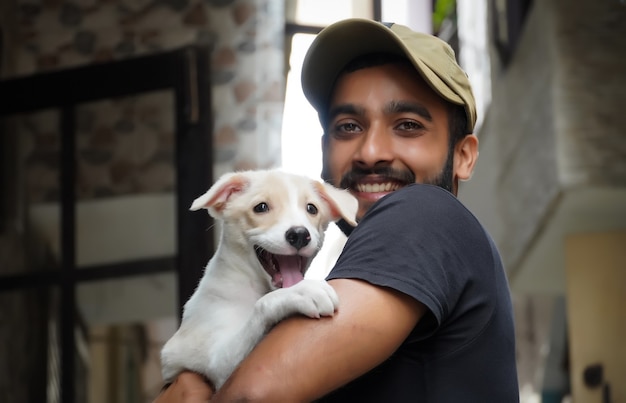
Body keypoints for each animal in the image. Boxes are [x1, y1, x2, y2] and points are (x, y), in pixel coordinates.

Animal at [160, 169, 356, 390]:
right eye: (261, 207)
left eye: (311, 208)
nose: (299, 234)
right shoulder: (216, 362)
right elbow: (262, 305)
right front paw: (302, 291)